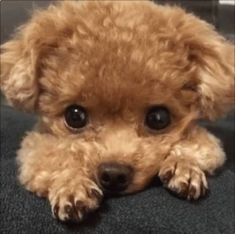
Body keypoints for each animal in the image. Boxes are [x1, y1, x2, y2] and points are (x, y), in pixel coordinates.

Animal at [0, 0, 234, 223]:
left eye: (159, 118)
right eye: (74, 116)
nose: (113, 175)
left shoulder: (204, 139)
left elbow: (197, 146)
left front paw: (183, 167)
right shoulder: (35, 144)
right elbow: (55, 156)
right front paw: (72, 185)